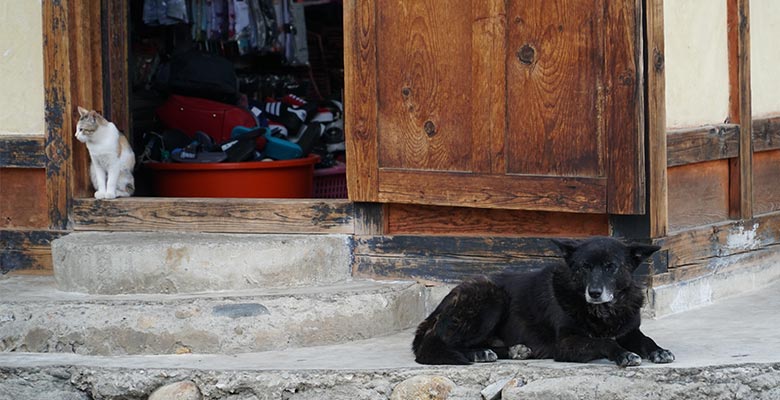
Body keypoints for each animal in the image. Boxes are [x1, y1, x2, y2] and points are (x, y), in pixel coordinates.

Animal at [412, 236, 672, 368]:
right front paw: (624, 355)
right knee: (437, 345)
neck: (604, 312)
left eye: (611, 267)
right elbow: (604, 342)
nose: (595, 293)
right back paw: (480, 353)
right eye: (584, 267)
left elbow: (646, 339)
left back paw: (514, 350)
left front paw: (659, 351)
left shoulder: (630, 331)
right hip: (490, 296)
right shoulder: (567, 344)